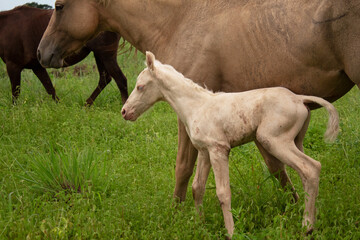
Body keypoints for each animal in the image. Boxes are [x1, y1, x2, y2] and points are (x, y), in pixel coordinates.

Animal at [0, 5, 129, 104]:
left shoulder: (13, 66)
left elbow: (15, 94)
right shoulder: (37, 66)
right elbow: (50, 88)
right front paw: (60, 107)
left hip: (106, 55)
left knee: (120, 80)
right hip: (100, 55)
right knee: (105, 79)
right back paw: (86, 105)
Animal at [122, 51, 338, 237]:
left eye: (140, 86)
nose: (124, 111)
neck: (197, 106)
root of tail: (299, 99)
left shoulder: (219, 149)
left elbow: (223, 192)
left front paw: (231, 232)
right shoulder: (204, 151)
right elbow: (197, 187)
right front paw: (199, 224)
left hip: (275, 140)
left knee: (311, 167)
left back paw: (307, 226)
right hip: (296, 141)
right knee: (305, 173)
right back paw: (311, 219)